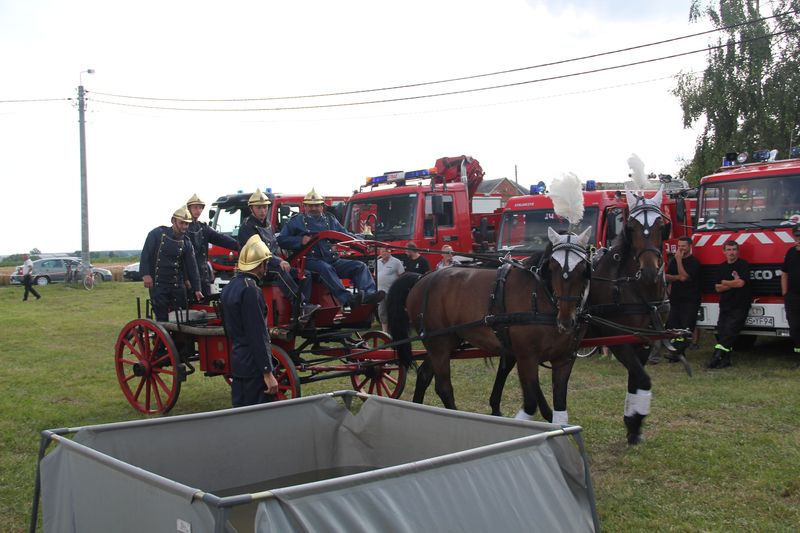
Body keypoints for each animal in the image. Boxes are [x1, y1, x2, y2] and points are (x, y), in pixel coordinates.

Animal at [388, 227, 592, 422]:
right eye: (553, 265)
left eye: (582, 267)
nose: (566, 319)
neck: (541, 297)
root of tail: (421, 278)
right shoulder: (526, 357)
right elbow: (530, 402)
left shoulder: (564, 359)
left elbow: (560, 407)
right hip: (438, 344)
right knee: (443, 386)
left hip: (446, 342)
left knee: (424, 375)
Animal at [488, 189, 668, 442]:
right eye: (631, 227)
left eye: (662, 227)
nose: (650, 270)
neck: (635, 289)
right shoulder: (617, 340)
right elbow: (641, 378)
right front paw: (634, 421)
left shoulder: (642, 340)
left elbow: (636, 381)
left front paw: (633, 423)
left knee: (508, 365)